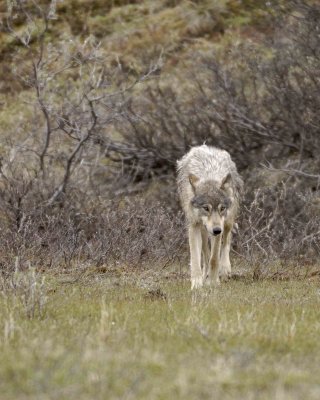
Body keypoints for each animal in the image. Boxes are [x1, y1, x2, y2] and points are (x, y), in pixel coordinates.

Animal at [178, 145, 242, 290]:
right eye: (206, 208)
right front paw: (197, 284)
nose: (217, 230)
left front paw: (213, 281)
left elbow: (214, 258)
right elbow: (195, 259)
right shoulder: (194, 225)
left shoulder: (220, 225)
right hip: (204, 230)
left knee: (226, 241)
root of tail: (205, 146)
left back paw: (224, 270)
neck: (208, 175)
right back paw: (205, 275)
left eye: (221, 208)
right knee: (205, 254)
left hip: (228, 222)